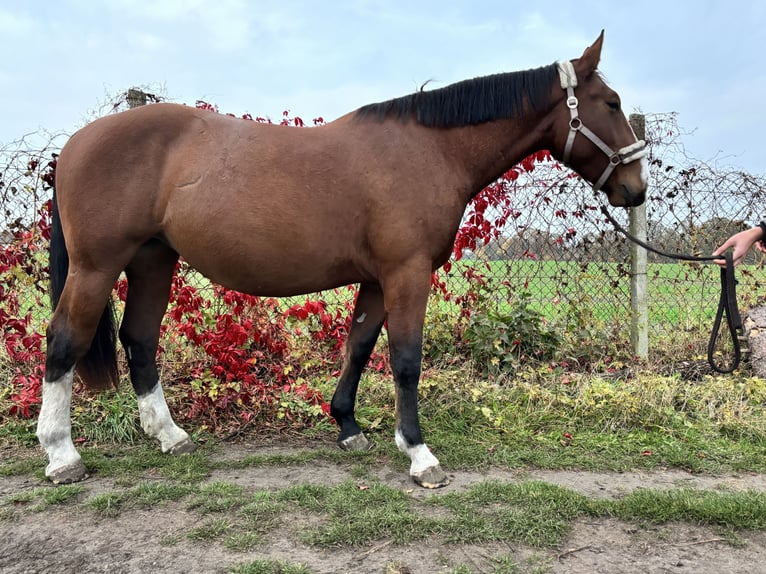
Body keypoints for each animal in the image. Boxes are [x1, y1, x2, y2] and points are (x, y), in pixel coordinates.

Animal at [36, 31, 648, 488]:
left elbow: (359, 347)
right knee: (64, 340)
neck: (430, 150)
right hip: (96, 268)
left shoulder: (379, 279)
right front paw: (420, 455)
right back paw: (62, 455)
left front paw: (348, 426)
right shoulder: (406, 274)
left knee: (139, 339)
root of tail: (75, 145)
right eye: (612, 103)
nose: (636, 188)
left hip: (152, 261)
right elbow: (405, 360)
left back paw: (169, 436)